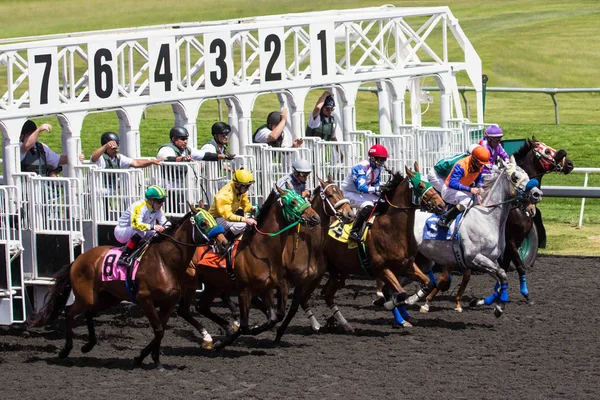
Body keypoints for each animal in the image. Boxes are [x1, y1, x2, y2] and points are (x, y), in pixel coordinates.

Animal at [25, 205, 229, 370]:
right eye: (203, 223)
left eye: (213, 219)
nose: (224, 242)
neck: (165, 262)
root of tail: (78, 259)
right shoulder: (144, 299)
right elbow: (158, 330)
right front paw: (151, 360)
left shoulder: (168, 303)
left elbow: (161, 330)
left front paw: (147, 359)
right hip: (86, 297)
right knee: (69, 313)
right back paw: (65, 351)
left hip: (107, 298)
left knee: (89, 313)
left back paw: (88, 345)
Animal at [177, 186, 322, 352]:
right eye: (292, 202)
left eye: (303, 198)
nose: (315, 217)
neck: (261, 250)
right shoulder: (245, 290)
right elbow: (246, 325)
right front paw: (237, 335)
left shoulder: (268, 287)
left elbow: (273, 317)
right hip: (191, 282)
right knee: (184, 310)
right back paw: (208, 337)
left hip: (213, 283)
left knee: (202, 307)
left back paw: (225, 328)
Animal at [318, 162, 446, 332]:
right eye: (420, 185)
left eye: (430, 183)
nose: (441, 205)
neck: (392, 229)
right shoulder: (381, 268)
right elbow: (398, 293)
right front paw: (387, 304)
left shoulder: (407, 265)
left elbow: (428, 284)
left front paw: (405, 309)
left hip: (340, 270)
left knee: (327, 294)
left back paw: (343, 324)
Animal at [410, 158, 540, 318]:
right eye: (515, 177)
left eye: (527, 174)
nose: (537, 193)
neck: (487, 218)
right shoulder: (474, 257)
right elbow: (503, 275)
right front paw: (499, 308)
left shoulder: (490, 260)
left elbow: (499, 283)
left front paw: (477, 302)